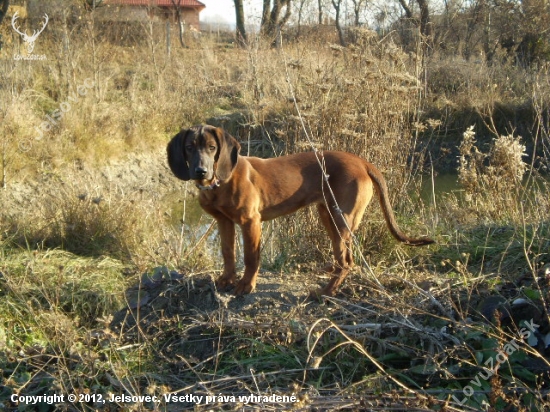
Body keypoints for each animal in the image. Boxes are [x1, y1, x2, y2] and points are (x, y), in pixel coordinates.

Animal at [168, 124, 436, 296]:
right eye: (189, 147)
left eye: (212, 147)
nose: (200, 171)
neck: (219, 183)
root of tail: (361, 161)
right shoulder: (224, 221)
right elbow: (227, 253)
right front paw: (227, 279)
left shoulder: (250, 221)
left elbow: (251, 257)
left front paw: (246, 285)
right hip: (327, 214)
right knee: (342, 256)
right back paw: (330, 272)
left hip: (341, 217)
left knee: (348, 261)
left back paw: (327, 291)